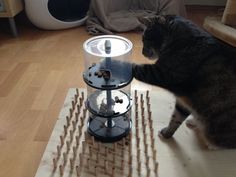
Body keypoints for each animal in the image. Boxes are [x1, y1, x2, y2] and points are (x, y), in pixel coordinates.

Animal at [133, 14, 236, 149]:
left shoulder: (164, 74)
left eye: (145, 39)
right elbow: (176, 118)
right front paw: (167, 134)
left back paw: (211, 144)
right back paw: (194, 122)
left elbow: (137, 68)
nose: (143, 53)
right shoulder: (184, 100)